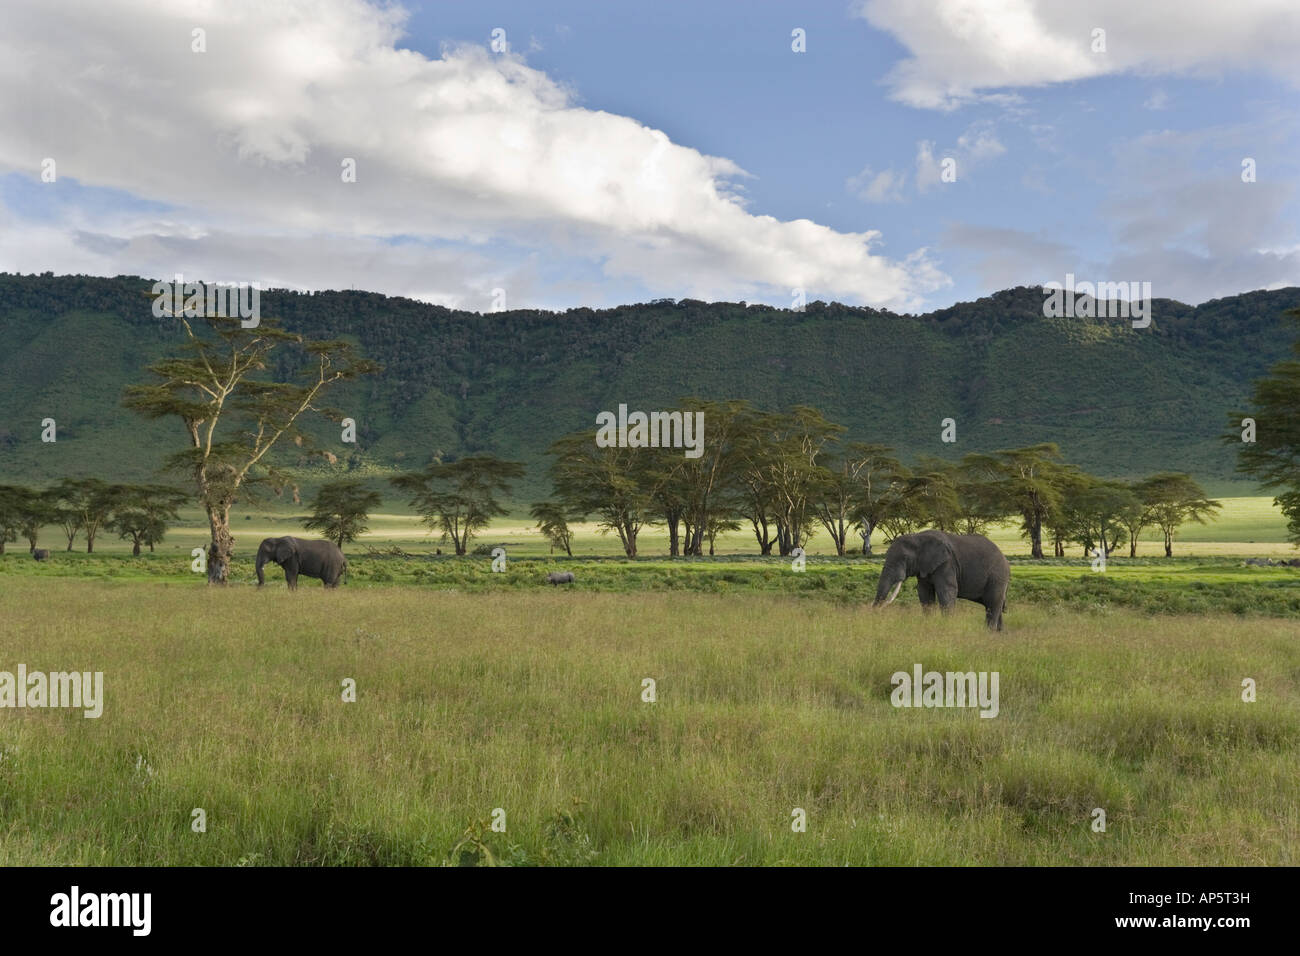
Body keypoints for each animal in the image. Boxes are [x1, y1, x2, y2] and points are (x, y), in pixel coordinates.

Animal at [878, 528, 1008, 632]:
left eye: (905, 558)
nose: (876, 615)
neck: (917, 537)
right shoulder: (924, 566)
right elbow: (924, 592)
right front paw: (928, 624)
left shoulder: (947, 563)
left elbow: (946, 590)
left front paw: (947, 627)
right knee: (992, 605)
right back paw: (997, 633)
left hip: (997, 576)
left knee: (993, 603)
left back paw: (989, 632)